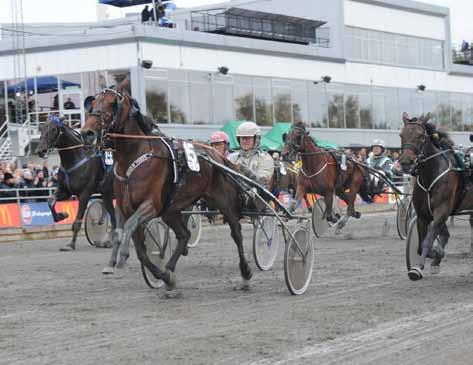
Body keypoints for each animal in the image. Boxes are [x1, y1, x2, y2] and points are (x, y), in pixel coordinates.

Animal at [34, 116, 116, 250]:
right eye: (41, 128)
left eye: (53, 129)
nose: (41, 150)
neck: (76, 159)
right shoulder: (65, 191)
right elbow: (50, 201)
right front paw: (62, 215)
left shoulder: (84, 194)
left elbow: (77, 220)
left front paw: (71, 244)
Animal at [80, 83, 254, 292]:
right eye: (92, 103)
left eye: (113, 103)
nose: (87, 133)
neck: (134, 159)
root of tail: (218, 156)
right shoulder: (125, 206)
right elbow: (137, 248)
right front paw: (164, 276)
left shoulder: (150, 205)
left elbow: (130, 227)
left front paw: (122, 257)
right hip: (171, 210)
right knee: (184, 235)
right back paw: (169, 270)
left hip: (223, 200)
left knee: (236, 232)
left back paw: (246, 273)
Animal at [398, 112, 472, 280]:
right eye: (401, 135)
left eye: (421, 136)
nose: (406, 162)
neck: (430, 174)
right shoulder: (424, 215)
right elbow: (421, 246)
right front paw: (436, 256)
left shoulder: (442, 210)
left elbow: (428, 241)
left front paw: (416, 268)